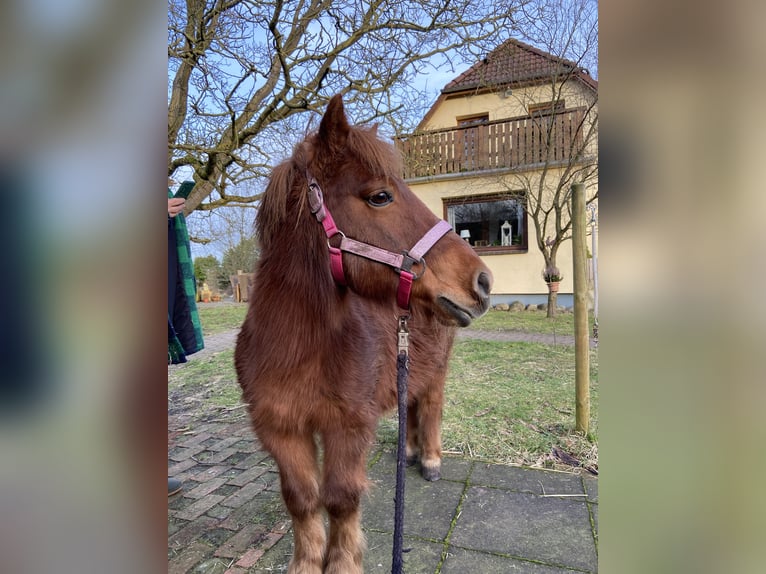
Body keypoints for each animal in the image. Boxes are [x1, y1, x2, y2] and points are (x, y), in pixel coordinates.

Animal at [234, 97, 496, 572]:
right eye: (380, 196)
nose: (483, 281)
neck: (297, 349)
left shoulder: (348, 426)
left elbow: (341, 498)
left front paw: (342, 563)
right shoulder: (279, 429)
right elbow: (301, 499)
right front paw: (306, 563)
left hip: (437, 371)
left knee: (431, 406)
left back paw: (430, 459)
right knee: (411, 403)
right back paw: (409, 453)